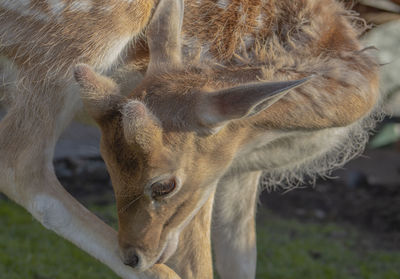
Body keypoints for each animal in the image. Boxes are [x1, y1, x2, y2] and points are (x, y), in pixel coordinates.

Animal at [0, 0, 382, 279]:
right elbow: (199, 266)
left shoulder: (238, 172)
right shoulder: (205, 182)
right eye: (106, 166)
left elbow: (241, 258)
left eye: (163, 186)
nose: (132, 256)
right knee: (19, 162)